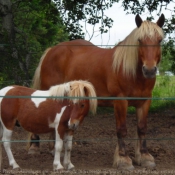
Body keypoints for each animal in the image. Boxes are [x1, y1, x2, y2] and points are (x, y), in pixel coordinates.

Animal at [29, 14, 164, 170]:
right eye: (140, 40)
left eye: (159, 40)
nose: (149, 70)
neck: (132, 73)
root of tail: (51, 50)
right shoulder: (120, 102)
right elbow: (122, 129)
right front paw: (123, 159)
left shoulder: (144, 102)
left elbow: (142, 128)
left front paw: (144, 157)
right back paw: (34, 147)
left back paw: (53, 149)